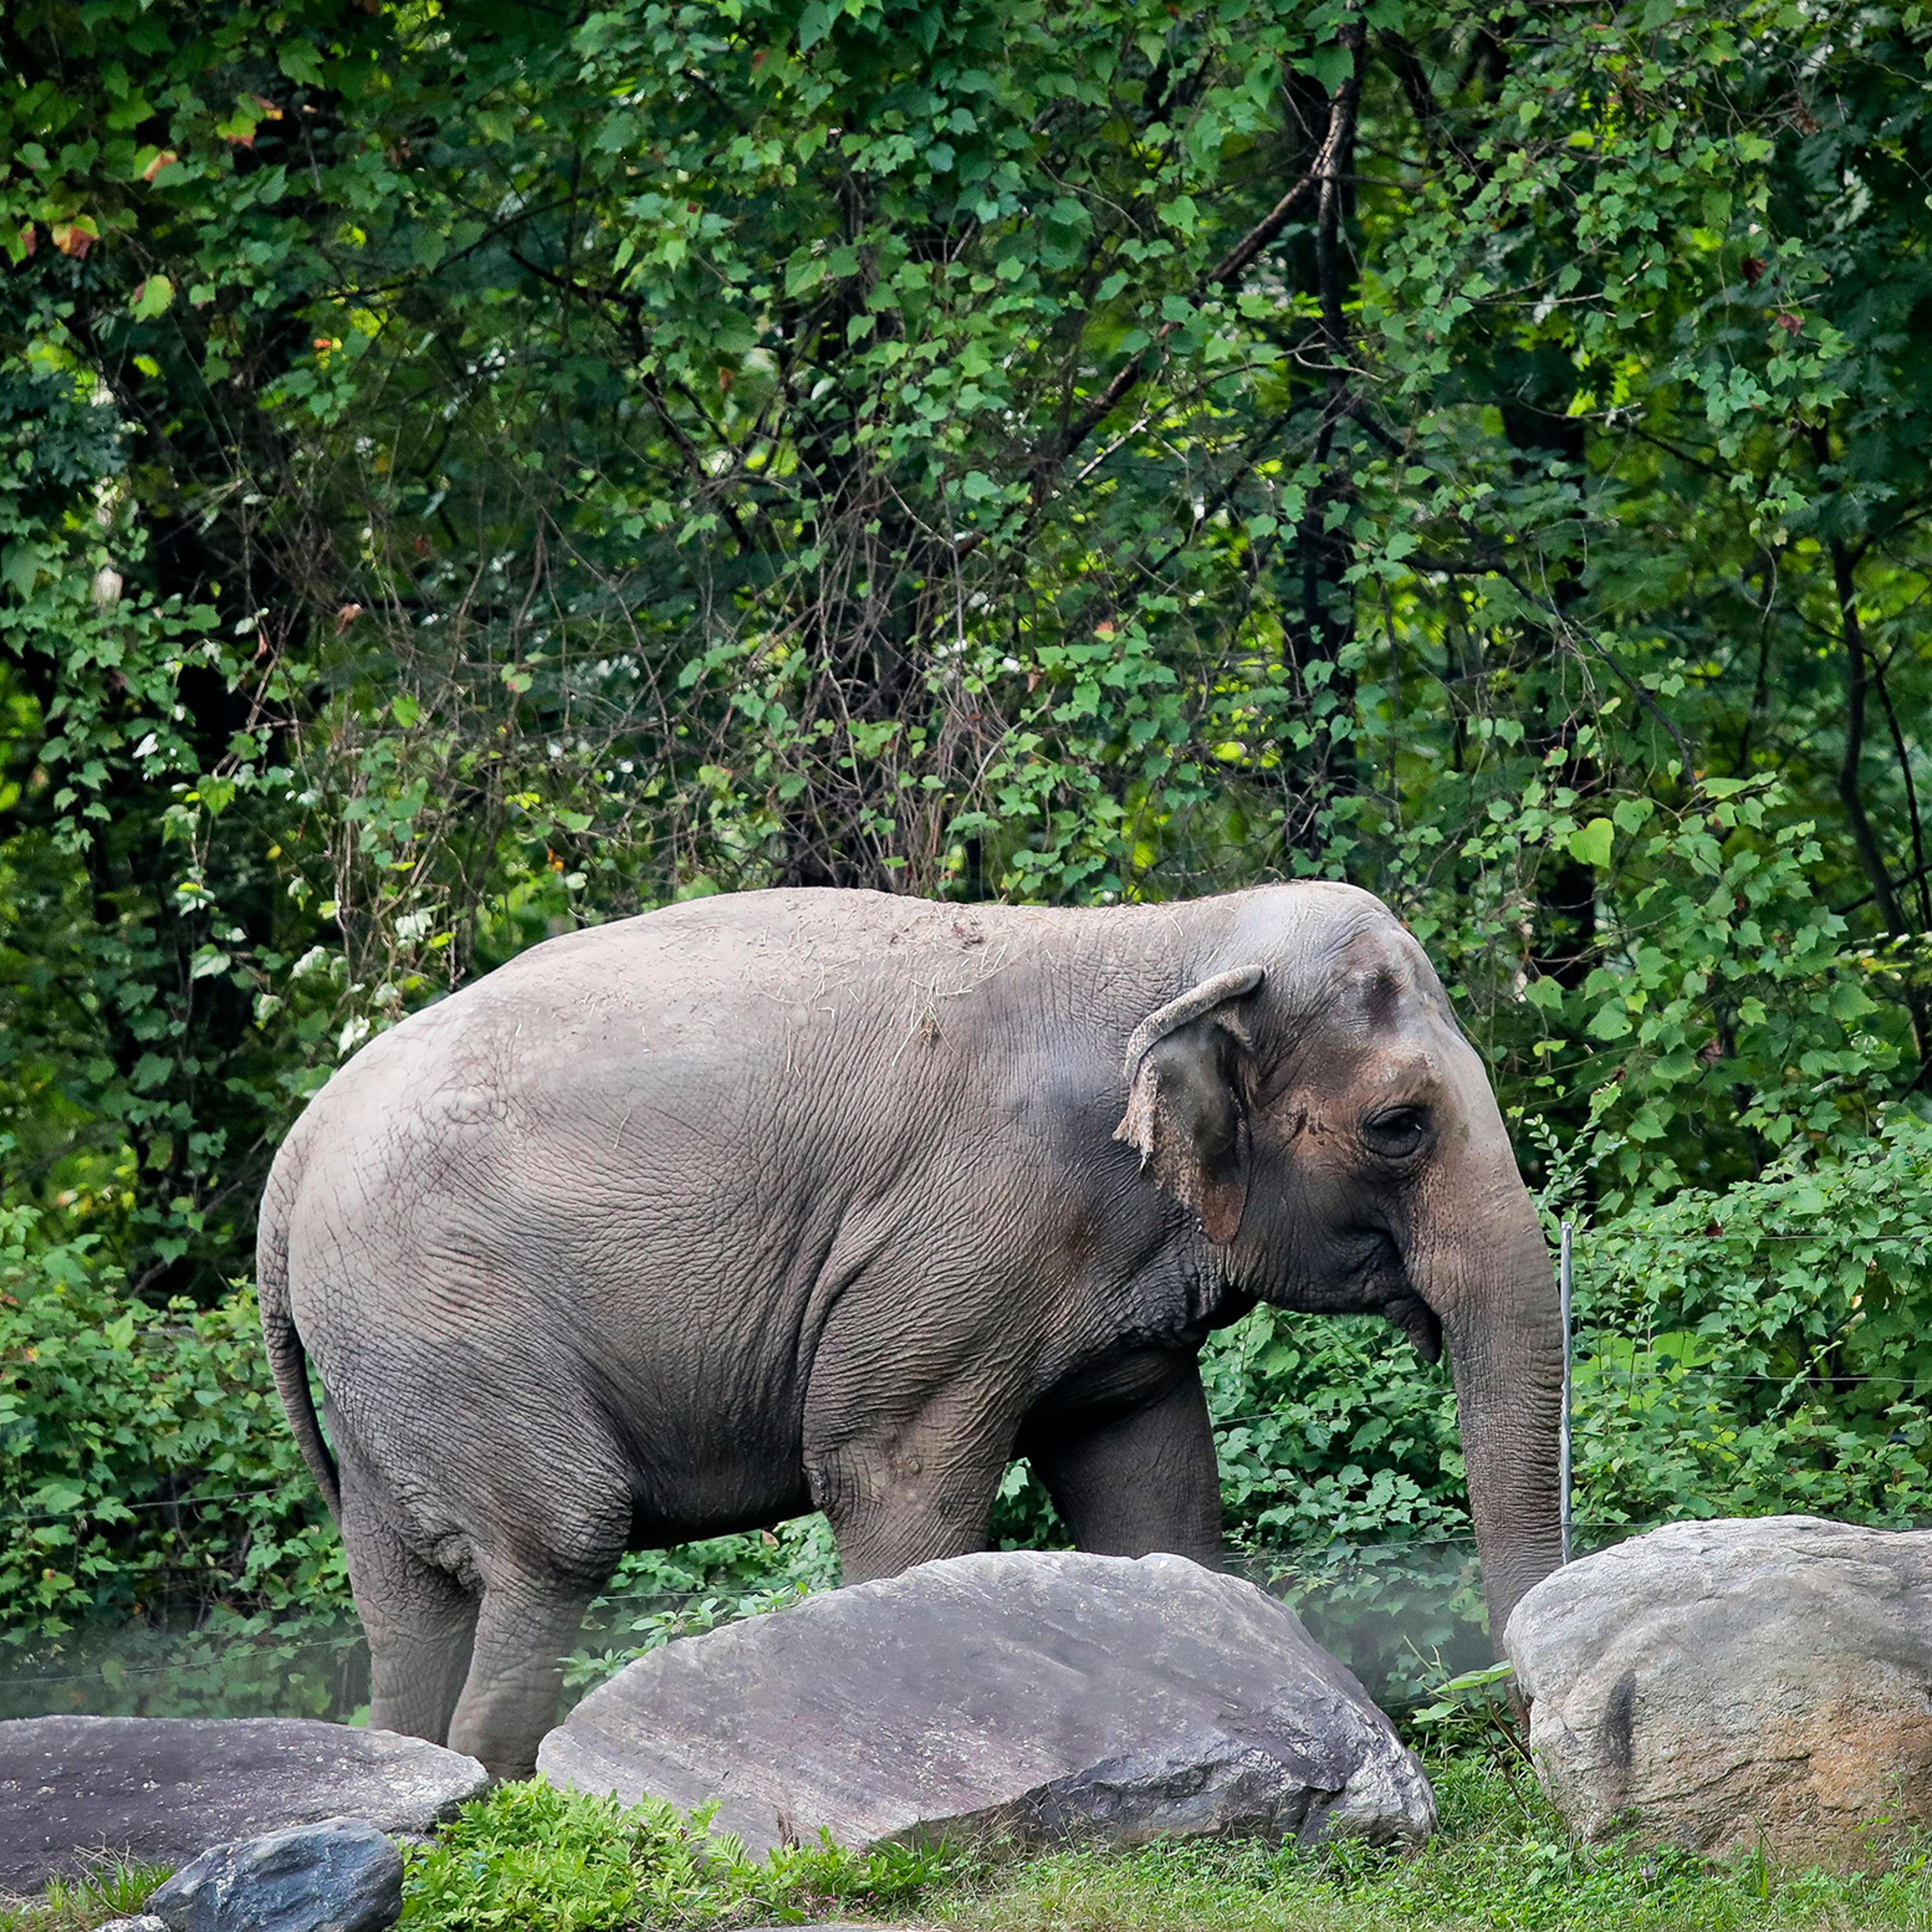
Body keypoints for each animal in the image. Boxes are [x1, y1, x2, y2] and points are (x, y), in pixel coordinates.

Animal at [258, 881, 1563, 1778]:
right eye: (1399, 1125)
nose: (1517, 1724)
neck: (1167, 940)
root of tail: (296, 1151)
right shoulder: (957, 1242)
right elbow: (892, 1476)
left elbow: (1153, 1492)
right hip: (450, 1316)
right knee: (556, 1543)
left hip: (386, 1361)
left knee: (404, 1594)